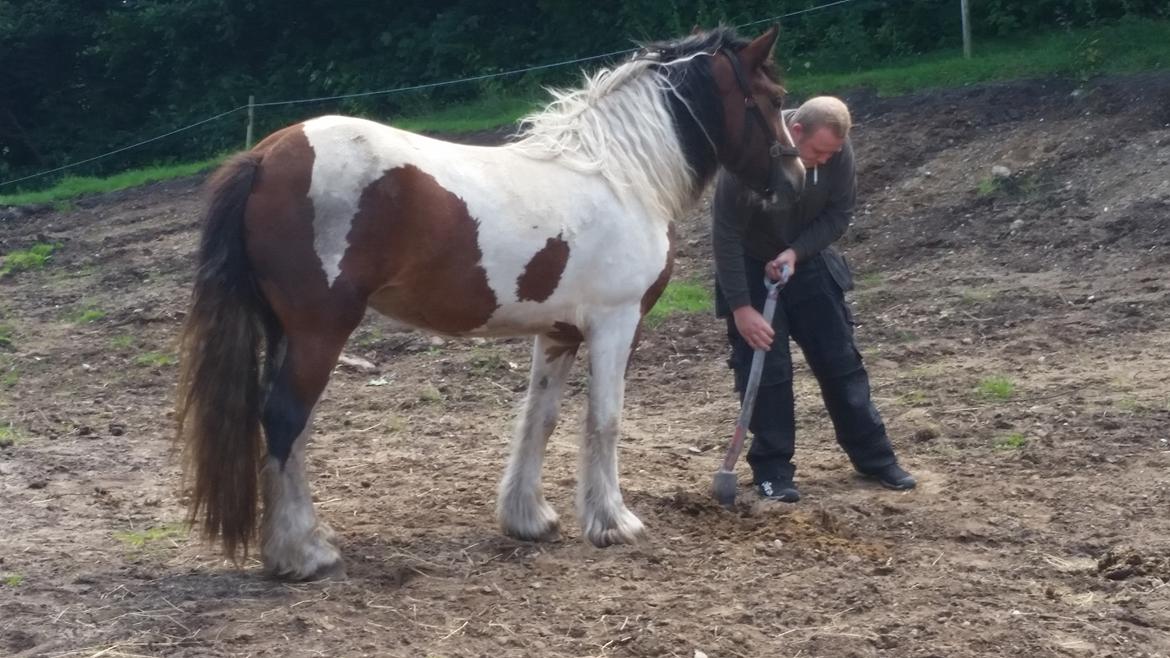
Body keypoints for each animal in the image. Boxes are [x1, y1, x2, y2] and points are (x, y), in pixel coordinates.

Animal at [175, 25, 804, 578]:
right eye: (774, 99)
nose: (797, 179)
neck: (620, 176)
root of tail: (264, 157)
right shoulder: (615, 323)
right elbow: (604, 420)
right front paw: (613, 522)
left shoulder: (558, 333)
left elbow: (539, 418)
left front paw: (528, 518)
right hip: (319, 334)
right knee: (285, 419)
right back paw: (302, 556)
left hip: (290, 334)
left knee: (291, 429)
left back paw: (305, 539)